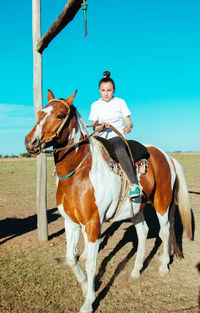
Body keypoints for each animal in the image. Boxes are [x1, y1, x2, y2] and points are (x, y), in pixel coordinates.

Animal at [25, 89, 192, 312]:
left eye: (60, 115)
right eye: (40, 112)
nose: (31, 142)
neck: (79, 173)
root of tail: (167, 156)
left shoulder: (93, 224)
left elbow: (91, 264)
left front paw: (89, 301)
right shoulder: (70, 222)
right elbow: (71, 258)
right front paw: (85, 286)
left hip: (162, 203)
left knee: (164, 233)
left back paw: (164, 266)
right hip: (136, 209)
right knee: (143, 233)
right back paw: (136, 271)